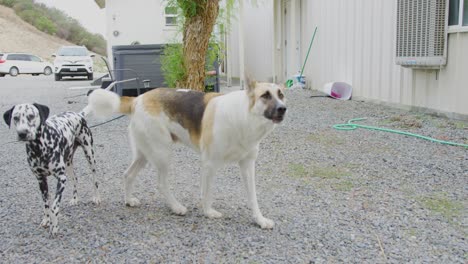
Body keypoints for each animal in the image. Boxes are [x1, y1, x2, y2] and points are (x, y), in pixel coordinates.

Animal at [2, 102, 100, 235]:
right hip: (68, 162)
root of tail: (78, 115)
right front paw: (46, 220)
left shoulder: (61, 179)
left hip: (90, 155)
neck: (39, 148)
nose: (22, 133)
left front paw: (54, 227)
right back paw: (75, 199)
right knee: (75, 179)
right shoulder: (41, 180)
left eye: (31, 116)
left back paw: (97, 197)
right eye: (15, 117)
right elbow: (46, 205)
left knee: (95, 178)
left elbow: (54, 207)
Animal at [87, 81, 286, 229]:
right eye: (265, 95)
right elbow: (207, 193)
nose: (283, 109)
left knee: (128, 175)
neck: (243, 117)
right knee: (161, 183)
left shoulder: (247, 164)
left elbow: (253, 197)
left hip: (144, 154)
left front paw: (259, 220)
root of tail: (138, 99)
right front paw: (208, 212)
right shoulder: (209, 163)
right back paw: (176, 207)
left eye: (281, 94)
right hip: (163, 153)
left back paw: (129, 200)